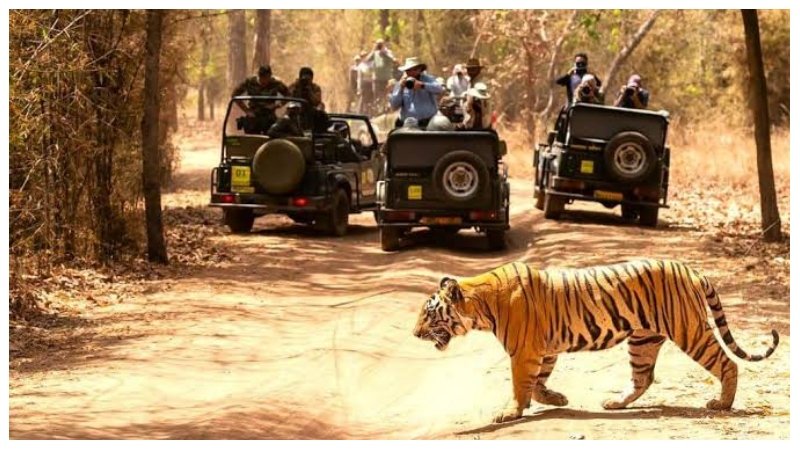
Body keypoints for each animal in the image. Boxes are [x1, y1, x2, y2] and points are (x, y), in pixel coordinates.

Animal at [412, 259, 779, 423]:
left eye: (429, 314)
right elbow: (538, 382)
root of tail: (691, 269)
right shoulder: (544, 349)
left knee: (727, 363)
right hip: (643, 340)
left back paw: (722, 404)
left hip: (690, 331)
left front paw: (511, 411)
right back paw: (615, 403)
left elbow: (520, 384)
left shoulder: (524, 350)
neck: (481, 304)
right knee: (643, 377)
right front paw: (556, 398)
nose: (414, 334)